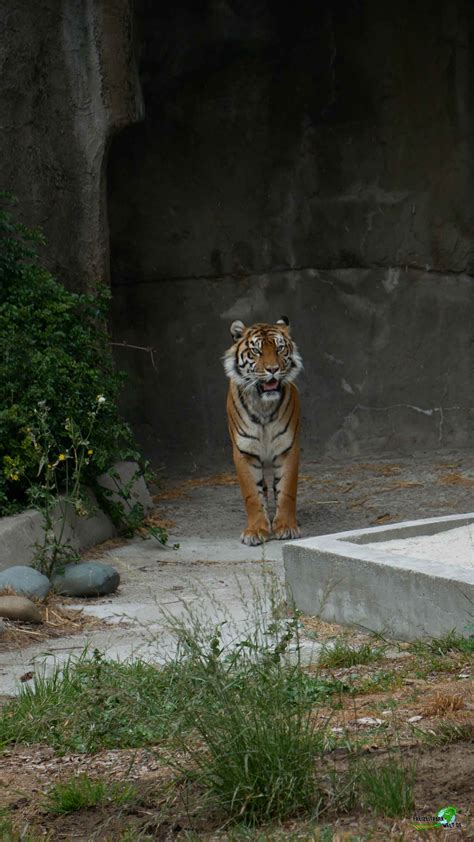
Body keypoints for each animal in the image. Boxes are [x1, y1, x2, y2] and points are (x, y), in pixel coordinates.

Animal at [223, 316, 303, 545]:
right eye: (256, 351)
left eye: (279, 348)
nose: (273, 369)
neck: (263, 406)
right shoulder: (244, 452)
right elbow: (251, 494)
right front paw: (256, 530)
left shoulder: (288, 448)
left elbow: (286, 491)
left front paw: (285, 527)